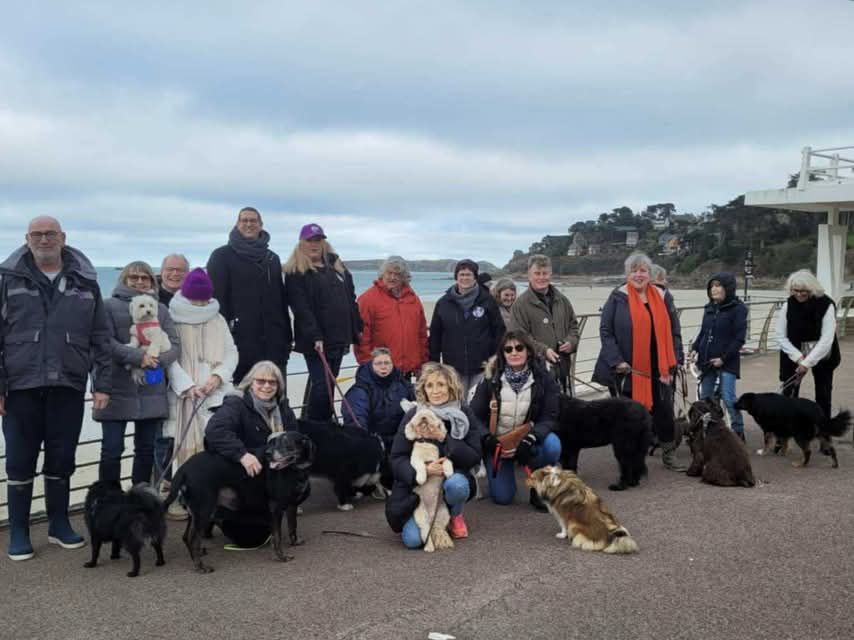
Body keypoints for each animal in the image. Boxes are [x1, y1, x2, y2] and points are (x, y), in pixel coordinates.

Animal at [164, 431, 314, 573]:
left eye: (286, 442)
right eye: (274, 442)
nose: (268, 454)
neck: (296, 468)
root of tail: (184, 469)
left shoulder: (291, 505)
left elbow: (293, 526)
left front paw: (295, 542)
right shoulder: (276, 509)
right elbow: (277, 537)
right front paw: (281, 557)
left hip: (196, 512)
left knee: (186, 537)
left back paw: (197, 556)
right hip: (204, 510)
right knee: (193, 539)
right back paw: (200, 566)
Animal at [404, 409, 454, 553]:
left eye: (430, 415)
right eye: (419, 415)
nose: (424, 418)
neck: (426, 442)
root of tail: (432, 516)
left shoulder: (442, 458)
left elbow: (448, 462)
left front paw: (449, 472)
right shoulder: (415, 460)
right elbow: (421, 466)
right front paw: (421, 478)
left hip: (444, 514)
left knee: (439, 529)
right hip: (421, 516)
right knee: (425, 531)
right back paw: (429, 547)